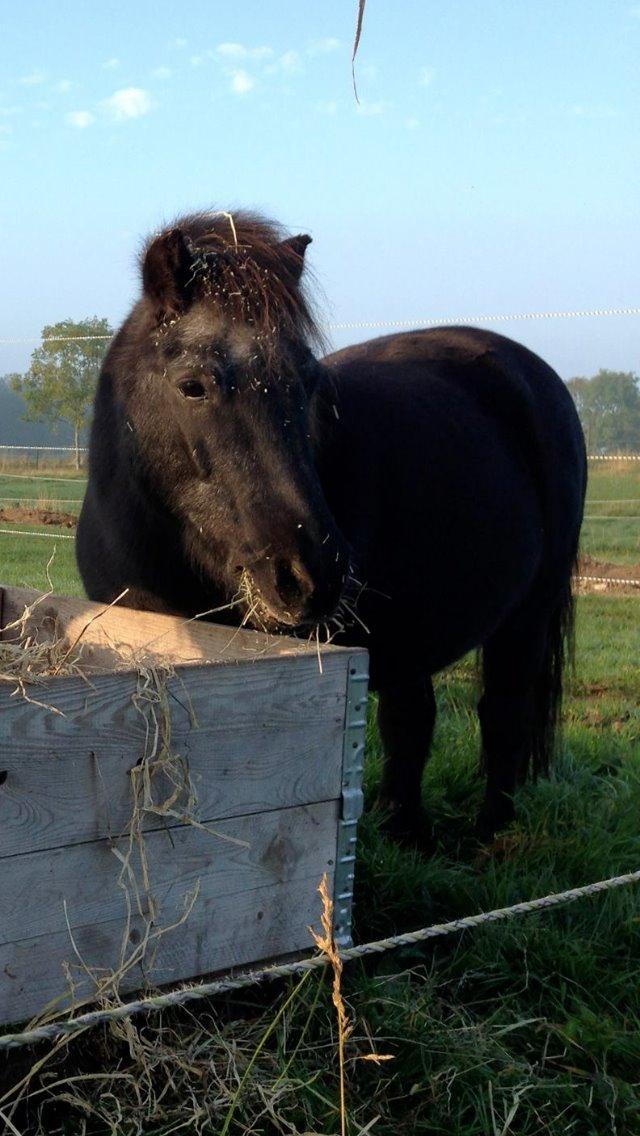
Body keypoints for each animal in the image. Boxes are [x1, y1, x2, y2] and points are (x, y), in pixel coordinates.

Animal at [77, 213, 586, 845]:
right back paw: (404, 831)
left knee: (502, 713)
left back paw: (488, 835)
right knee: (412, 719)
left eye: (308, 381)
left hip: (526, 617)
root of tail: (533, 373)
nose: (310, 574)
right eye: (193, 385)